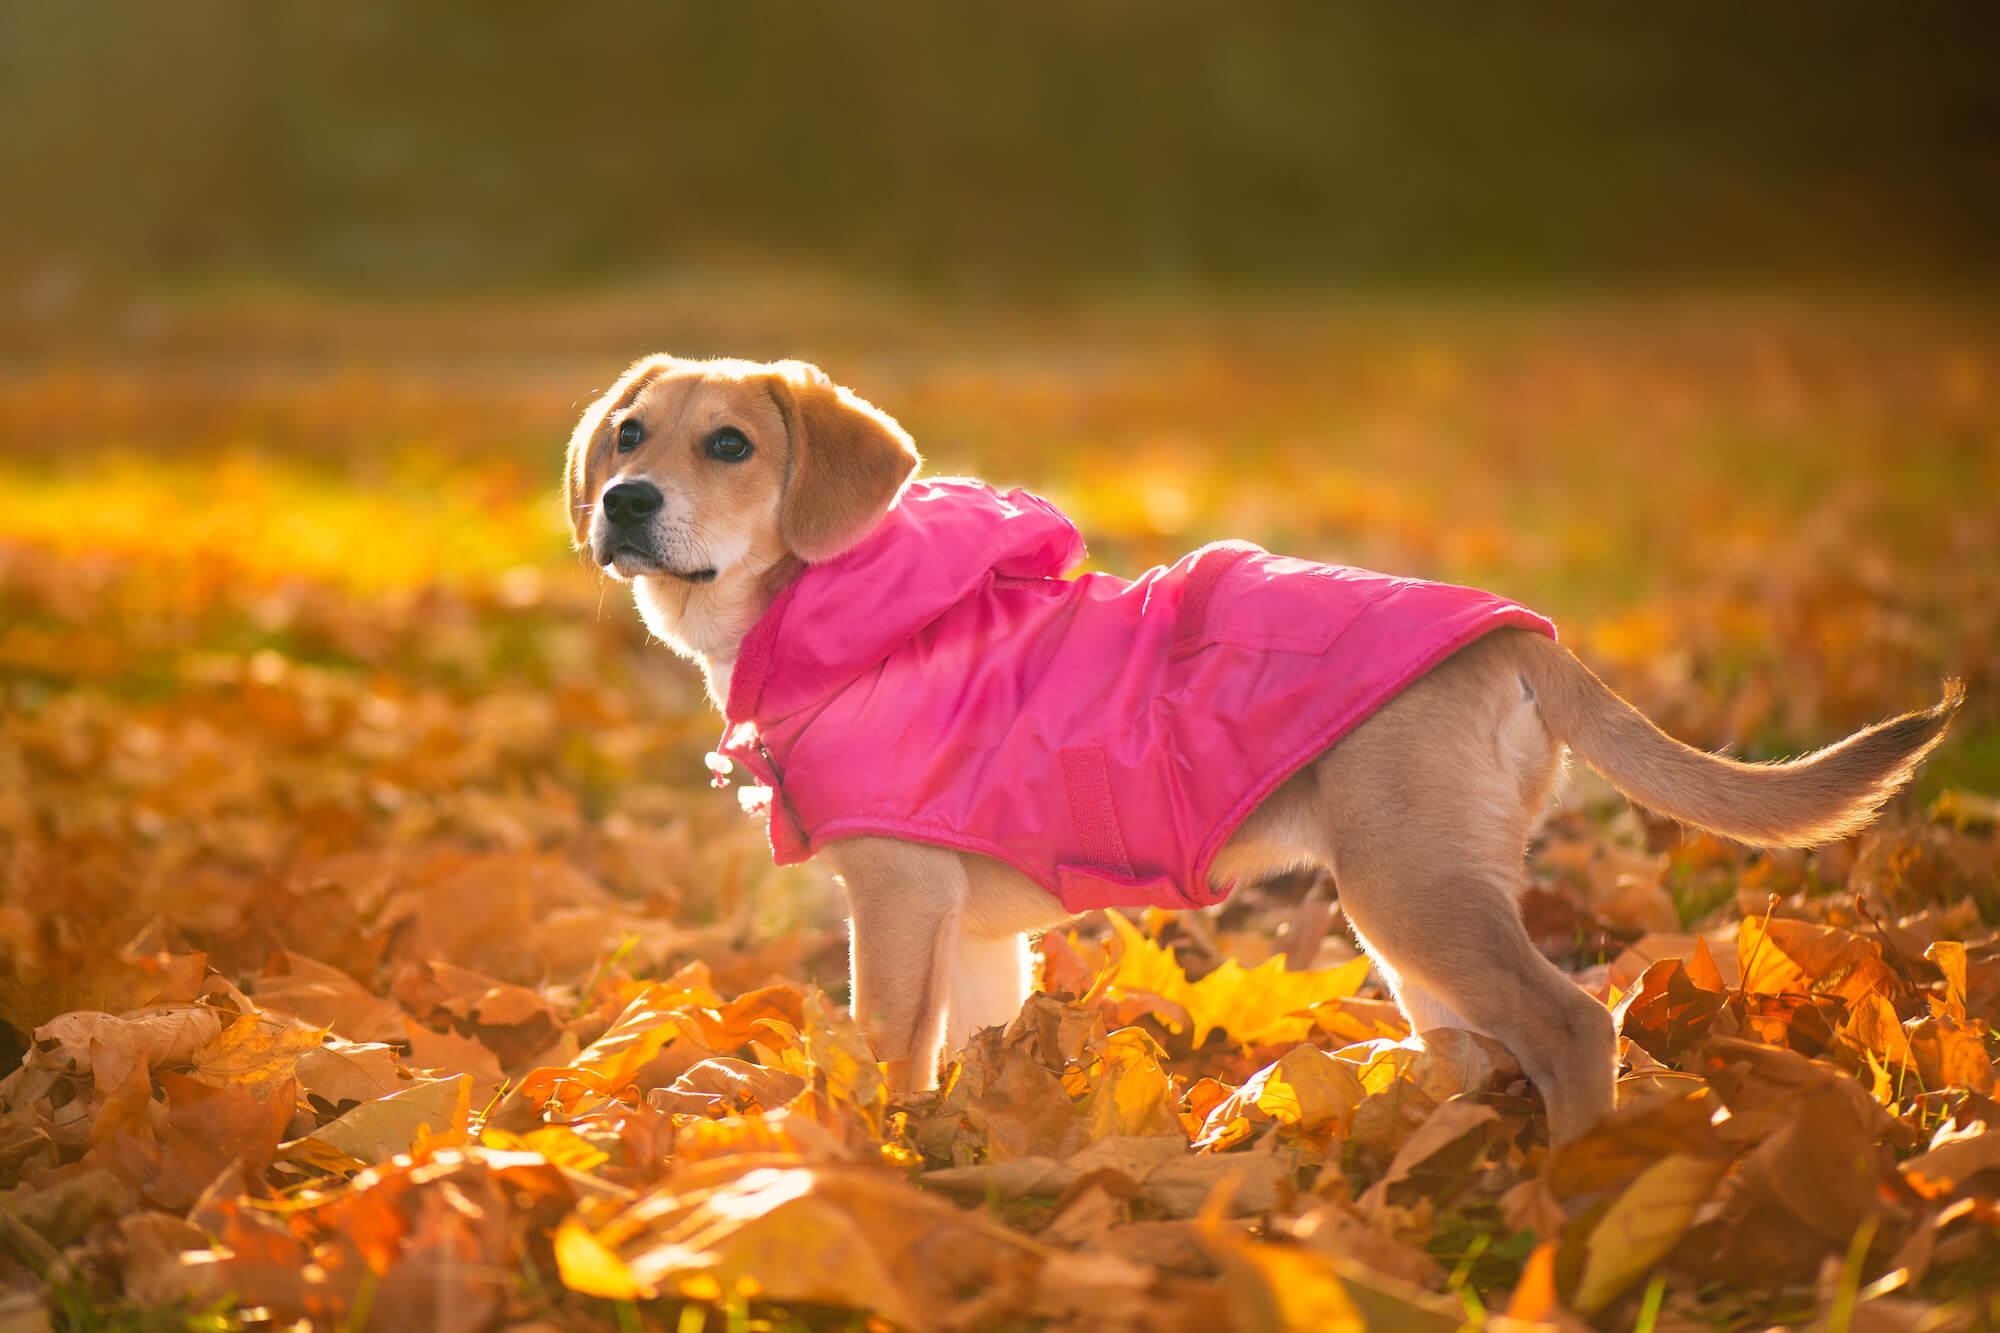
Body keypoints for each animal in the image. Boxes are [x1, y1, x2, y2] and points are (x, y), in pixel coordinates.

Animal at [572, 352, 1960, 1144]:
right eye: (630, 434)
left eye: (731, 445)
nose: (621, 502)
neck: (843, 609)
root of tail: (1515, 637)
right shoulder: (969, 928)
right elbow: (967, 1054)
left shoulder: (898, 898)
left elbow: (887, 1055)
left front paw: (876, 1161)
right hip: (1417, 913)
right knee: (1483, 1049)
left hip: (1410, 893)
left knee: (1570, 1027)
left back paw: (1570, 1196)